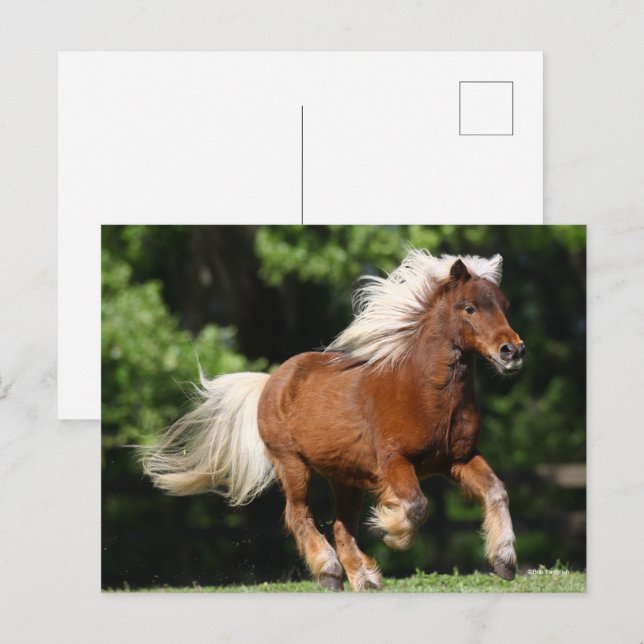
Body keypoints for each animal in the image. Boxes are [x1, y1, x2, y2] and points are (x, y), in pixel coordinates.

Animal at [142, 249, 526, 591]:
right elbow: (417, 505)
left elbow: (497, 491)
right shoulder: (394, 461)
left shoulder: (457, 458)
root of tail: (270, 382)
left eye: (505, 306)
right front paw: (390, 530)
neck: (424, 394)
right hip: (292, 465)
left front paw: (504, 561)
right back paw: (330, 572)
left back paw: (366, 579)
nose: (513, 351)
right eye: (469, 308)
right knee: (298, 515)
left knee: (341, 527)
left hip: (346, 478)